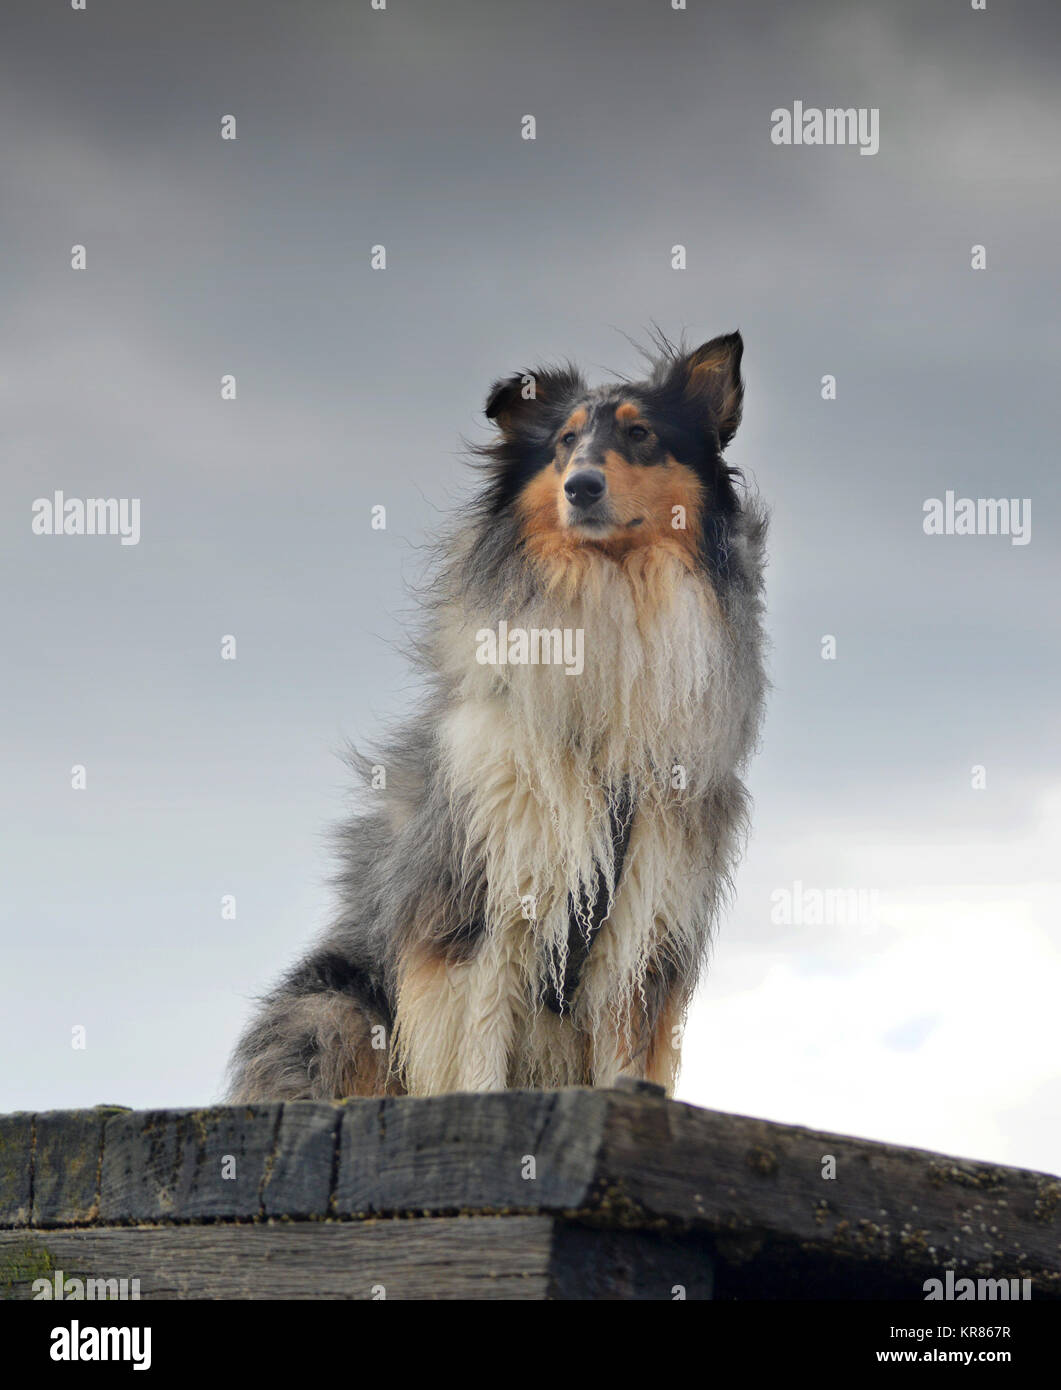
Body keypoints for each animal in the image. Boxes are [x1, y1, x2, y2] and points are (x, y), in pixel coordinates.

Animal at [228, 330, 767, 1100]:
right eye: (565, 442)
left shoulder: (643, 939)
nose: (581, 487)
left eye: (639, 434)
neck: (607, 592)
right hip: (334, 1006)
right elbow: (475, 1062)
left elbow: (626, 1063)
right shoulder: (478, 920)